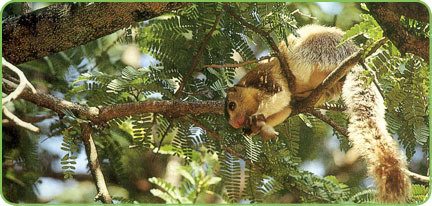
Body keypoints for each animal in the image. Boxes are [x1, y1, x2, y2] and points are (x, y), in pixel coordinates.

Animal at [224, 24, 410, 203]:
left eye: (232, 105)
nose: (235, 124)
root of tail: (353, 57)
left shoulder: (267, 81)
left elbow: (281, 96)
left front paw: (256, 117)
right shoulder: (287, 106)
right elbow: (286, 109)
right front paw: (258, 127)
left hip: (313, 51)